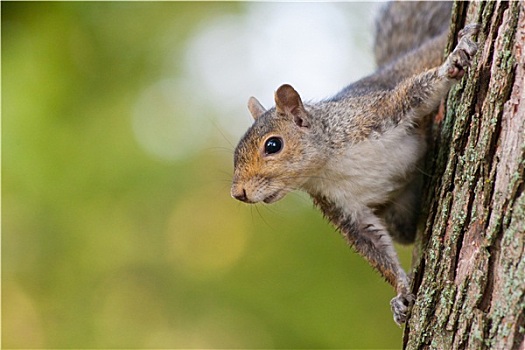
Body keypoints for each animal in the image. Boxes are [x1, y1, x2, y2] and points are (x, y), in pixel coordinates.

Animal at [229, 2, 478, 326]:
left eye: (273, 145)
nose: (238, 193)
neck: (329, 164)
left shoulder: (374, 114)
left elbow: (417, 92)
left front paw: (452, 63)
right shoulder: (342, 207)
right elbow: (372, 243)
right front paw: (401, 294)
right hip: (397, 214)